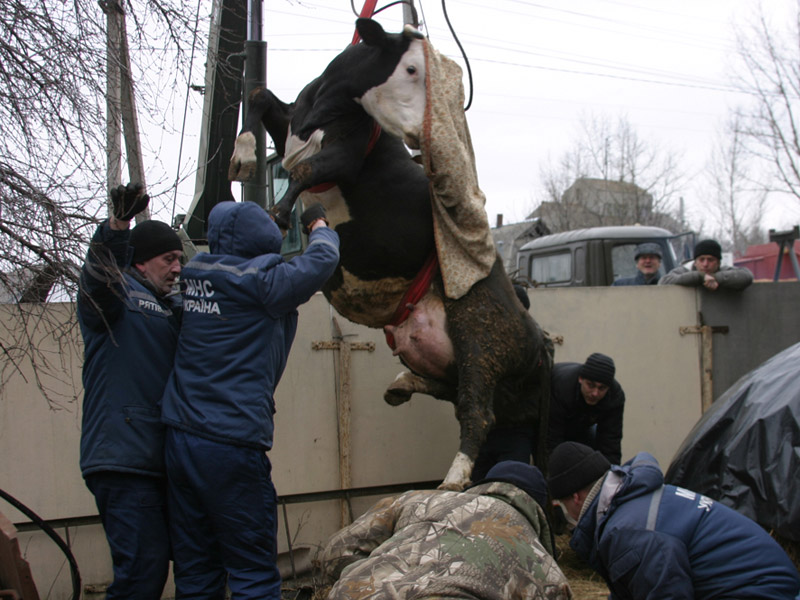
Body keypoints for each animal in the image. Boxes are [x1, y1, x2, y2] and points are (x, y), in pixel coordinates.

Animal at [228, 18, 548, 492]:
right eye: (413, 69)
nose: (423, 137)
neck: (323, 107)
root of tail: (539, 339)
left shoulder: (347, 154)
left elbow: (306, 169)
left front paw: (279, 213)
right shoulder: (290, 127)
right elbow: (260, 97)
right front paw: (244, 156)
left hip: (479, 338)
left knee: (477, 411)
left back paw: (452, 480)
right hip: (445, 359)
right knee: (453, 395)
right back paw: (400, 386)